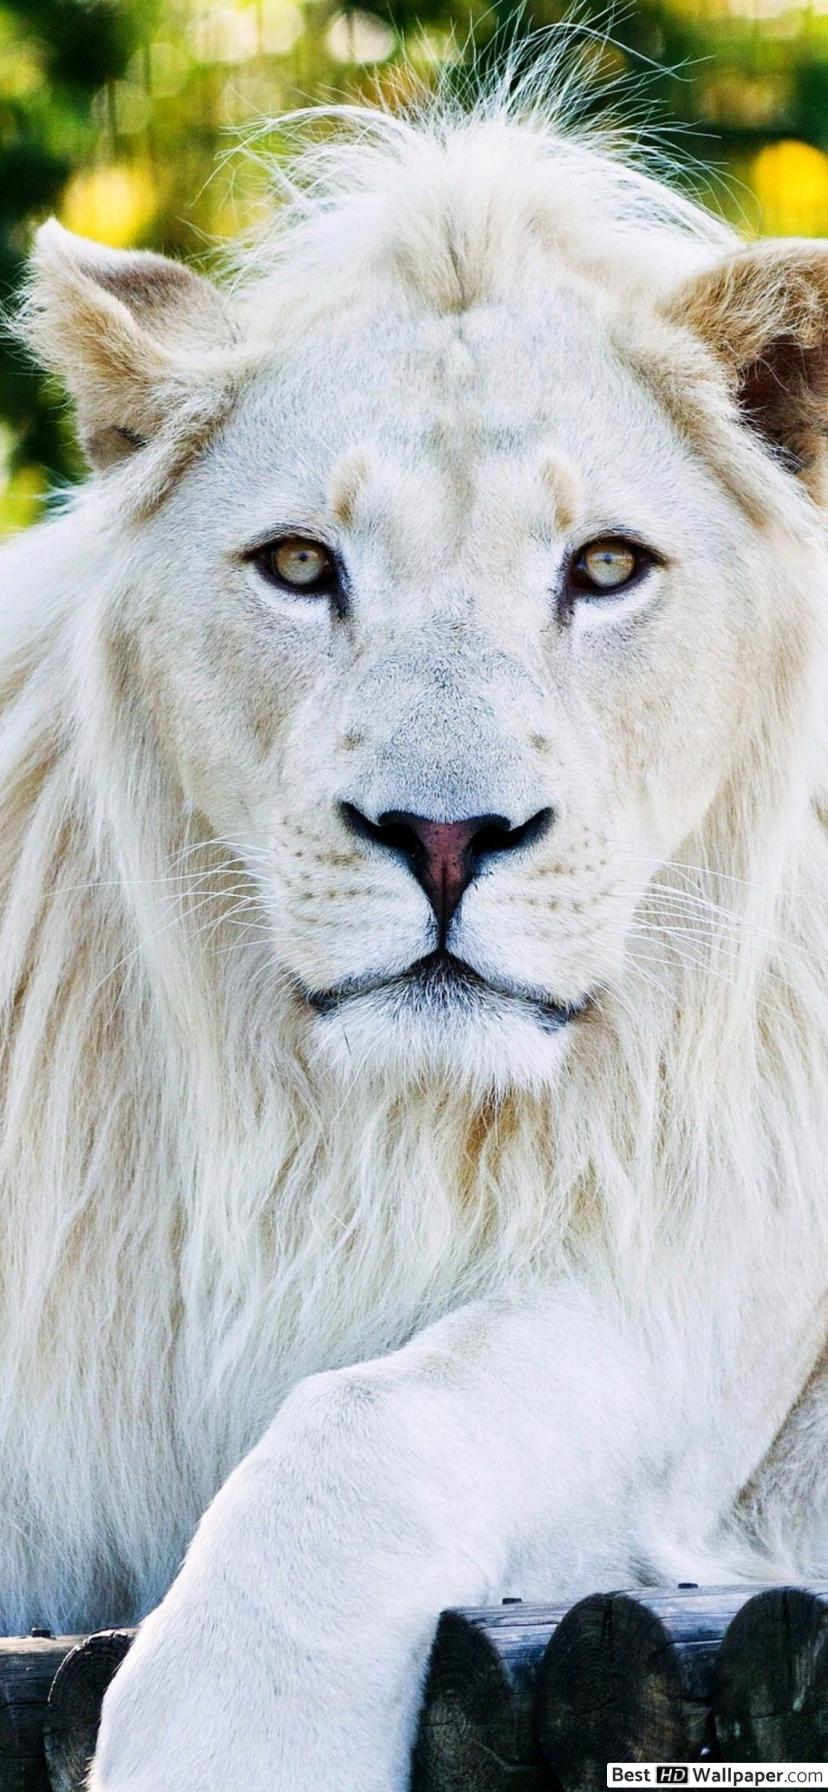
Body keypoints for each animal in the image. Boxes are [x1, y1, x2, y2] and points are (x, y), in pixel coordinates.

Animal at [2, 70, 828, 1791]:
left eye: (605, 567)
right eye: (301, 565)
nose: (446, 839)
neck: (359, 1129)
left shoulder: (699, 1275)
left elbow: (376, 1419)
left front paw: (228, 1733)